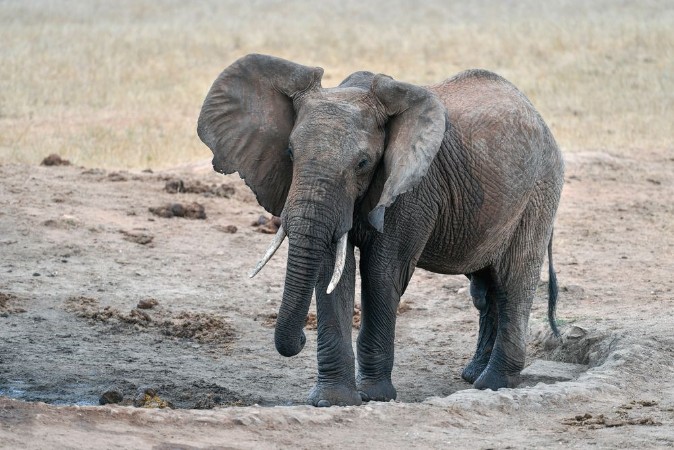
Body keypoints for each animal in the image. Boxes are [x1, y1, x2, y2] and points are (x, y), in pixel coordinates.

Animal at [197, 54, 564, 407]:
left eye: (362, 164)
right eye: (289, 152)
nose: (300, 338)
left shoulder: (412, 188)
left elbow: (381, 273)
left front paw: (373, 396)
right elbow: (333, 273)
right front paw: (333, 402)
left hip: (539, 190)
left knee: (513, 280)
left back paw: (493, 384)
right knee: (485, 289)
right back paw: (473, 374)